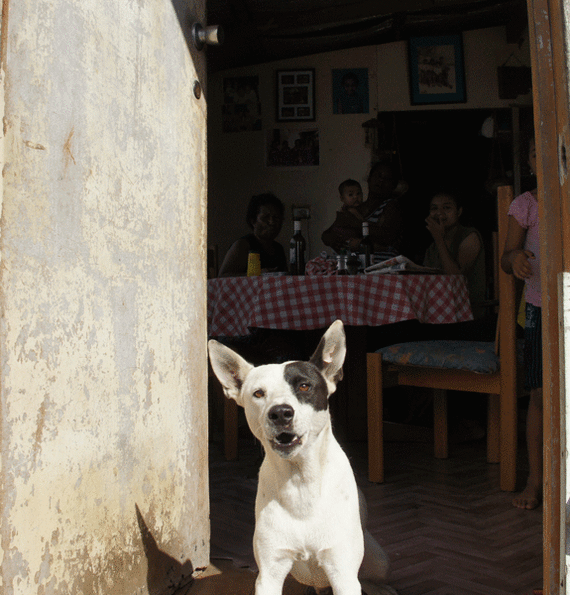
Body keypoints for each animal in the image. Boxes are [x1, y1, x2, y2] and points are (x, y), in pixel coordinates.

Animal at [206, 322, 398, 595]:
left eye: (305, 386)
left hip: (378, 559)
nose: (280, 413)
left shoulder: (342, 572)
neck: (300, 482)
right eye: (258, 393)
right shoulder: (269, 573)